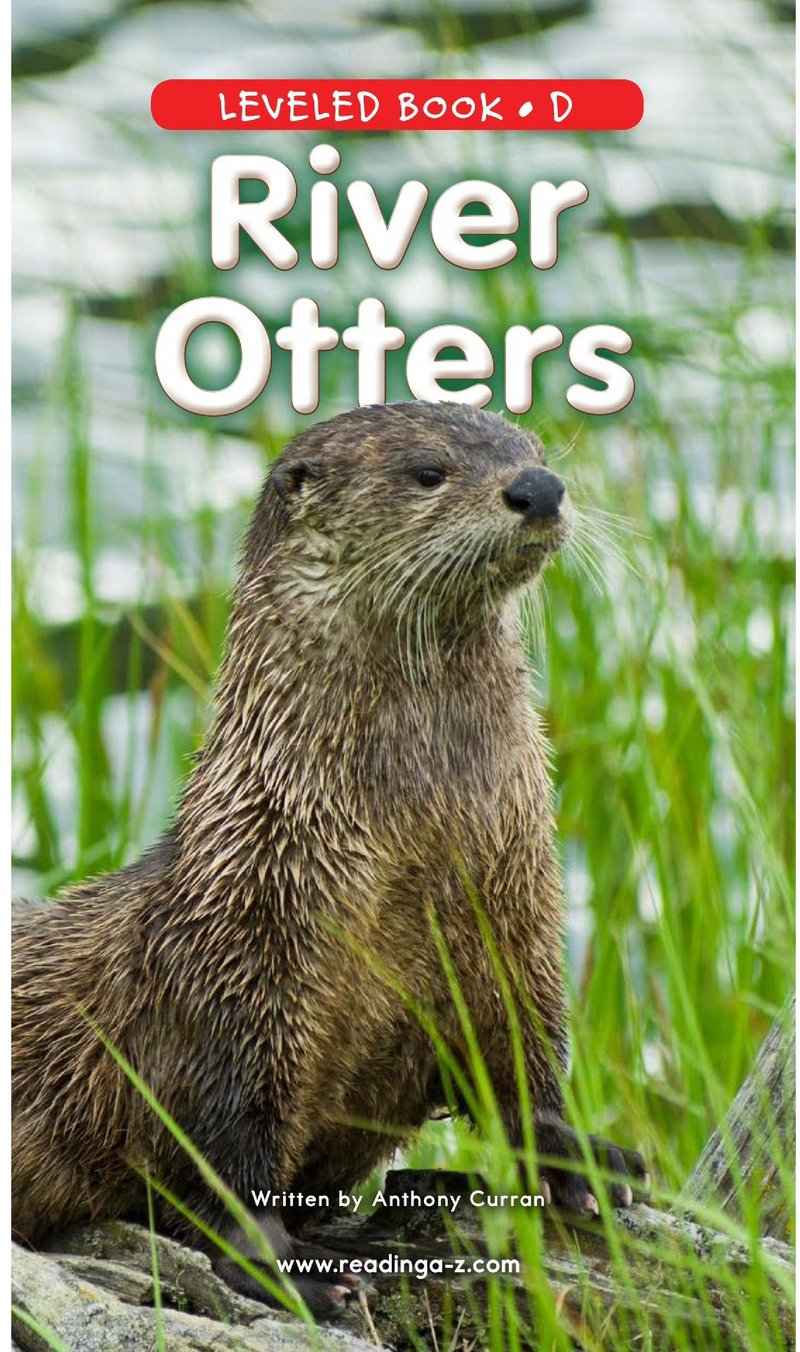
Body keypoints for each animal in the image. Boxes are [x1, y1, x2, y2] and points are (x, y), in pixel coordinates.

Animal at [13, 402, 646, 1318]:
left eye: (531, 449)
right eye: (428, 471)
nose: (538, 488)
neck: (411, 865)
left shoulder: (516, 921)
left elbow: (523, 1062)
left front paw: (582, 1160)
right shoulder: (237, 978)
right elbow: (226, 1154)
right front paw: (285, 1264)